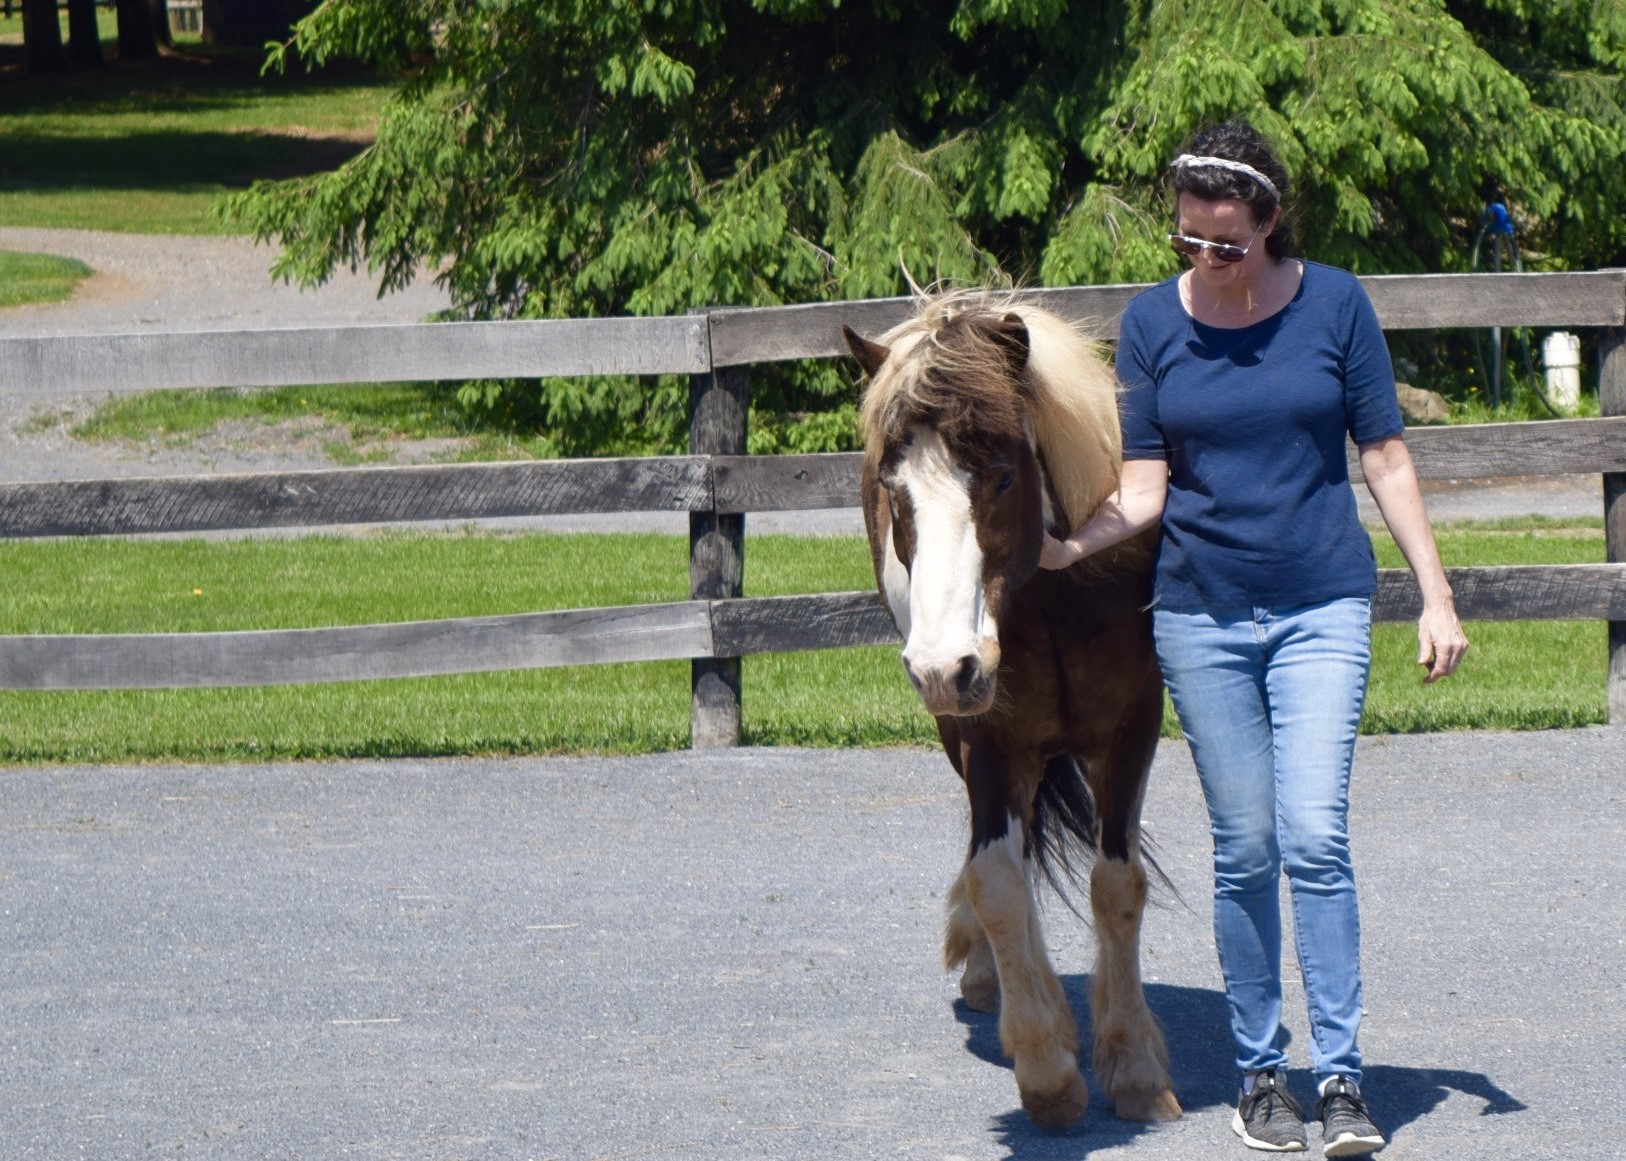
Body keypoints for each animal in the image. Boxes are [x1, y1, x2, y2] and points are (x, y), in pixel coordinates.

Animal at [842, 292, 1181, 1130]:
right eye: (894, 490)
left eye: (999, 477)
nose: (942, 665)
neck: (1058, 600)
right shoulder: (988, 741)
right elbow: (997, 882)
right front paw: (1048, 1067)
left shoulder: (1131, 733)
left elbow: (1116, 886)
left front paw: (1133, 1064)